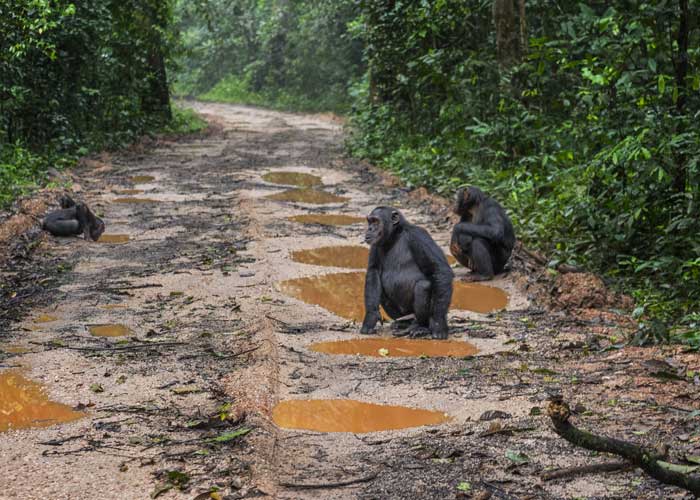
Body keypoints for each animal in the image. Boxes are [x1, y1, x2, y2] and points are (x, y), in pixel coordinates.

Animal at [360, 205, 454, 338]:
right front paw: (371, 317)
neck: (395, 236)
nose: (370, 228)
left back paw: (421, 327)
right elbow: (374, 271)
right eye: (370, 221)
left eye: (376, 221)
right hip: (402, 314)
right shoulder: (375, 244)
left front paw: (439, 325)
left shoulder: (419, 236)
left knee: (423, 286)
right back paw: (403, 324)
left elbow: (440, 270)